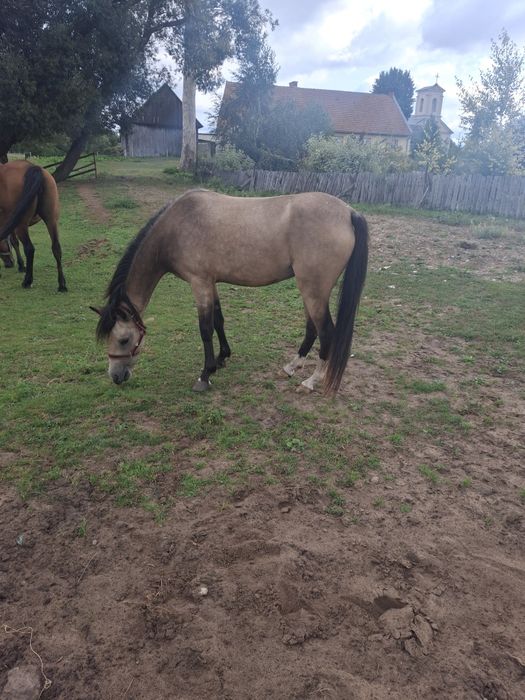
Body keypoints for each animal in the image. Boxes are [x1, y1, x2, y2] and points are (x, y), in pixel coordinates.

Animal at [0, 160, 67, 291]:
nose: (9, 263)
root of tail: (33, 167)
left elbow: (14, 242)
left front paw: (21, 266)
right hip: (51, 220)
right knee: (56, 247)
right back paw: (61, 284)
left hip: (21, 224)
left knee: (29, 248)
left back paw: (27, 281)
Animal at [92, 189, 368, 394]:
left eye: (123, 339)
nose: (115, 376)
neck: (176, 227)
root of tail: (349, 212)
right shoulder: (211, 283)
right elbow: (218, 320)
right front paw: (222, 358)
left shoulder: (199, 282)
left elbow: (205, 329)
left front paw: (205, 376)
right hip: (310, 291)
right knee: (312, 329)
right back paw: (291, 367)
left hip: (313, 291)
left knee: (327, 333)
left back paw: (311, 381)